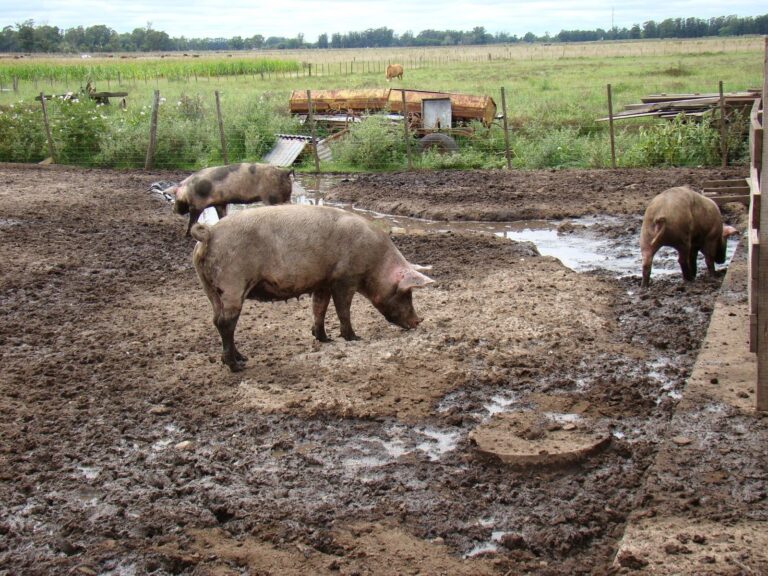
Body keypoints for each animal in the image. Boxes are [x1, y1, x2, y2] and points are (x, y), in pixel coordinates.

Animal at [190, 204, 435, 372]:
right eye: (407, 294)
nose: (419, 321)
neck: (376, 262)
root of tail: (209, 233)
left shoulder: (323, 283)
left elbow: (319, 308)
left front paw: (325, 339)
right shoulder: (344, 279)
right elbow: (343, 310)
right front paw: (354, 338)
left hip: (209, 288)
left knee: (217, 320)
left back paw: (242, 358)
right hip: (232, 283)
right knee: (226, 322)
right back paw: (237, 366)